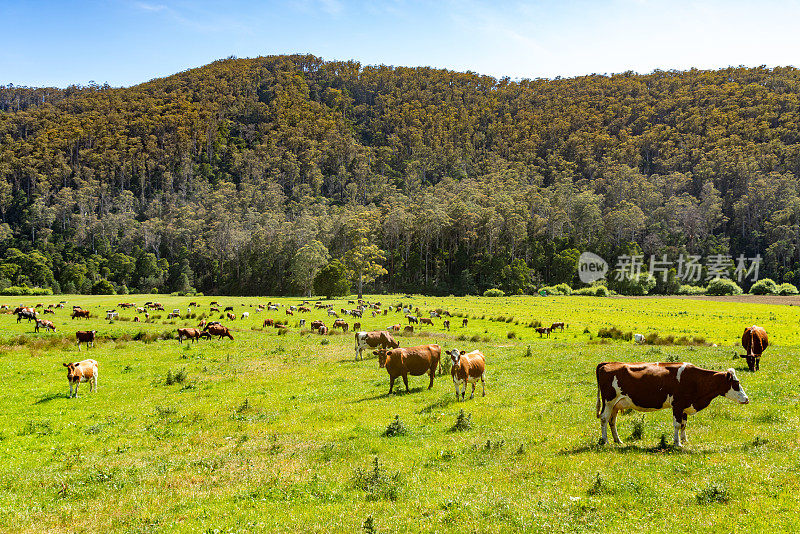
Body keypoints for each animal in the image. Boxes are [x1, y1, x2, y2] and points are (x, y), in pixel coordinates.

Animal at [592, 364, 752, 448]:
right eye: (736, 383)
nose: (747, 399)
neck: (694, 380)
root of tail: (607, 363)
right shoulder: (678, 405)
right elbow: (677, 424)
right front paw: (677, 443)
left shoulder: (685, 407)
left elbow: (684, 425)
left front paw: (684, 440)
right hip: (608, 402)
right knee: (604, 419)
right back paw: (605, 441)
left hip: (616, 405)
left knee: (612, 421)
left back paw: (617, 440)